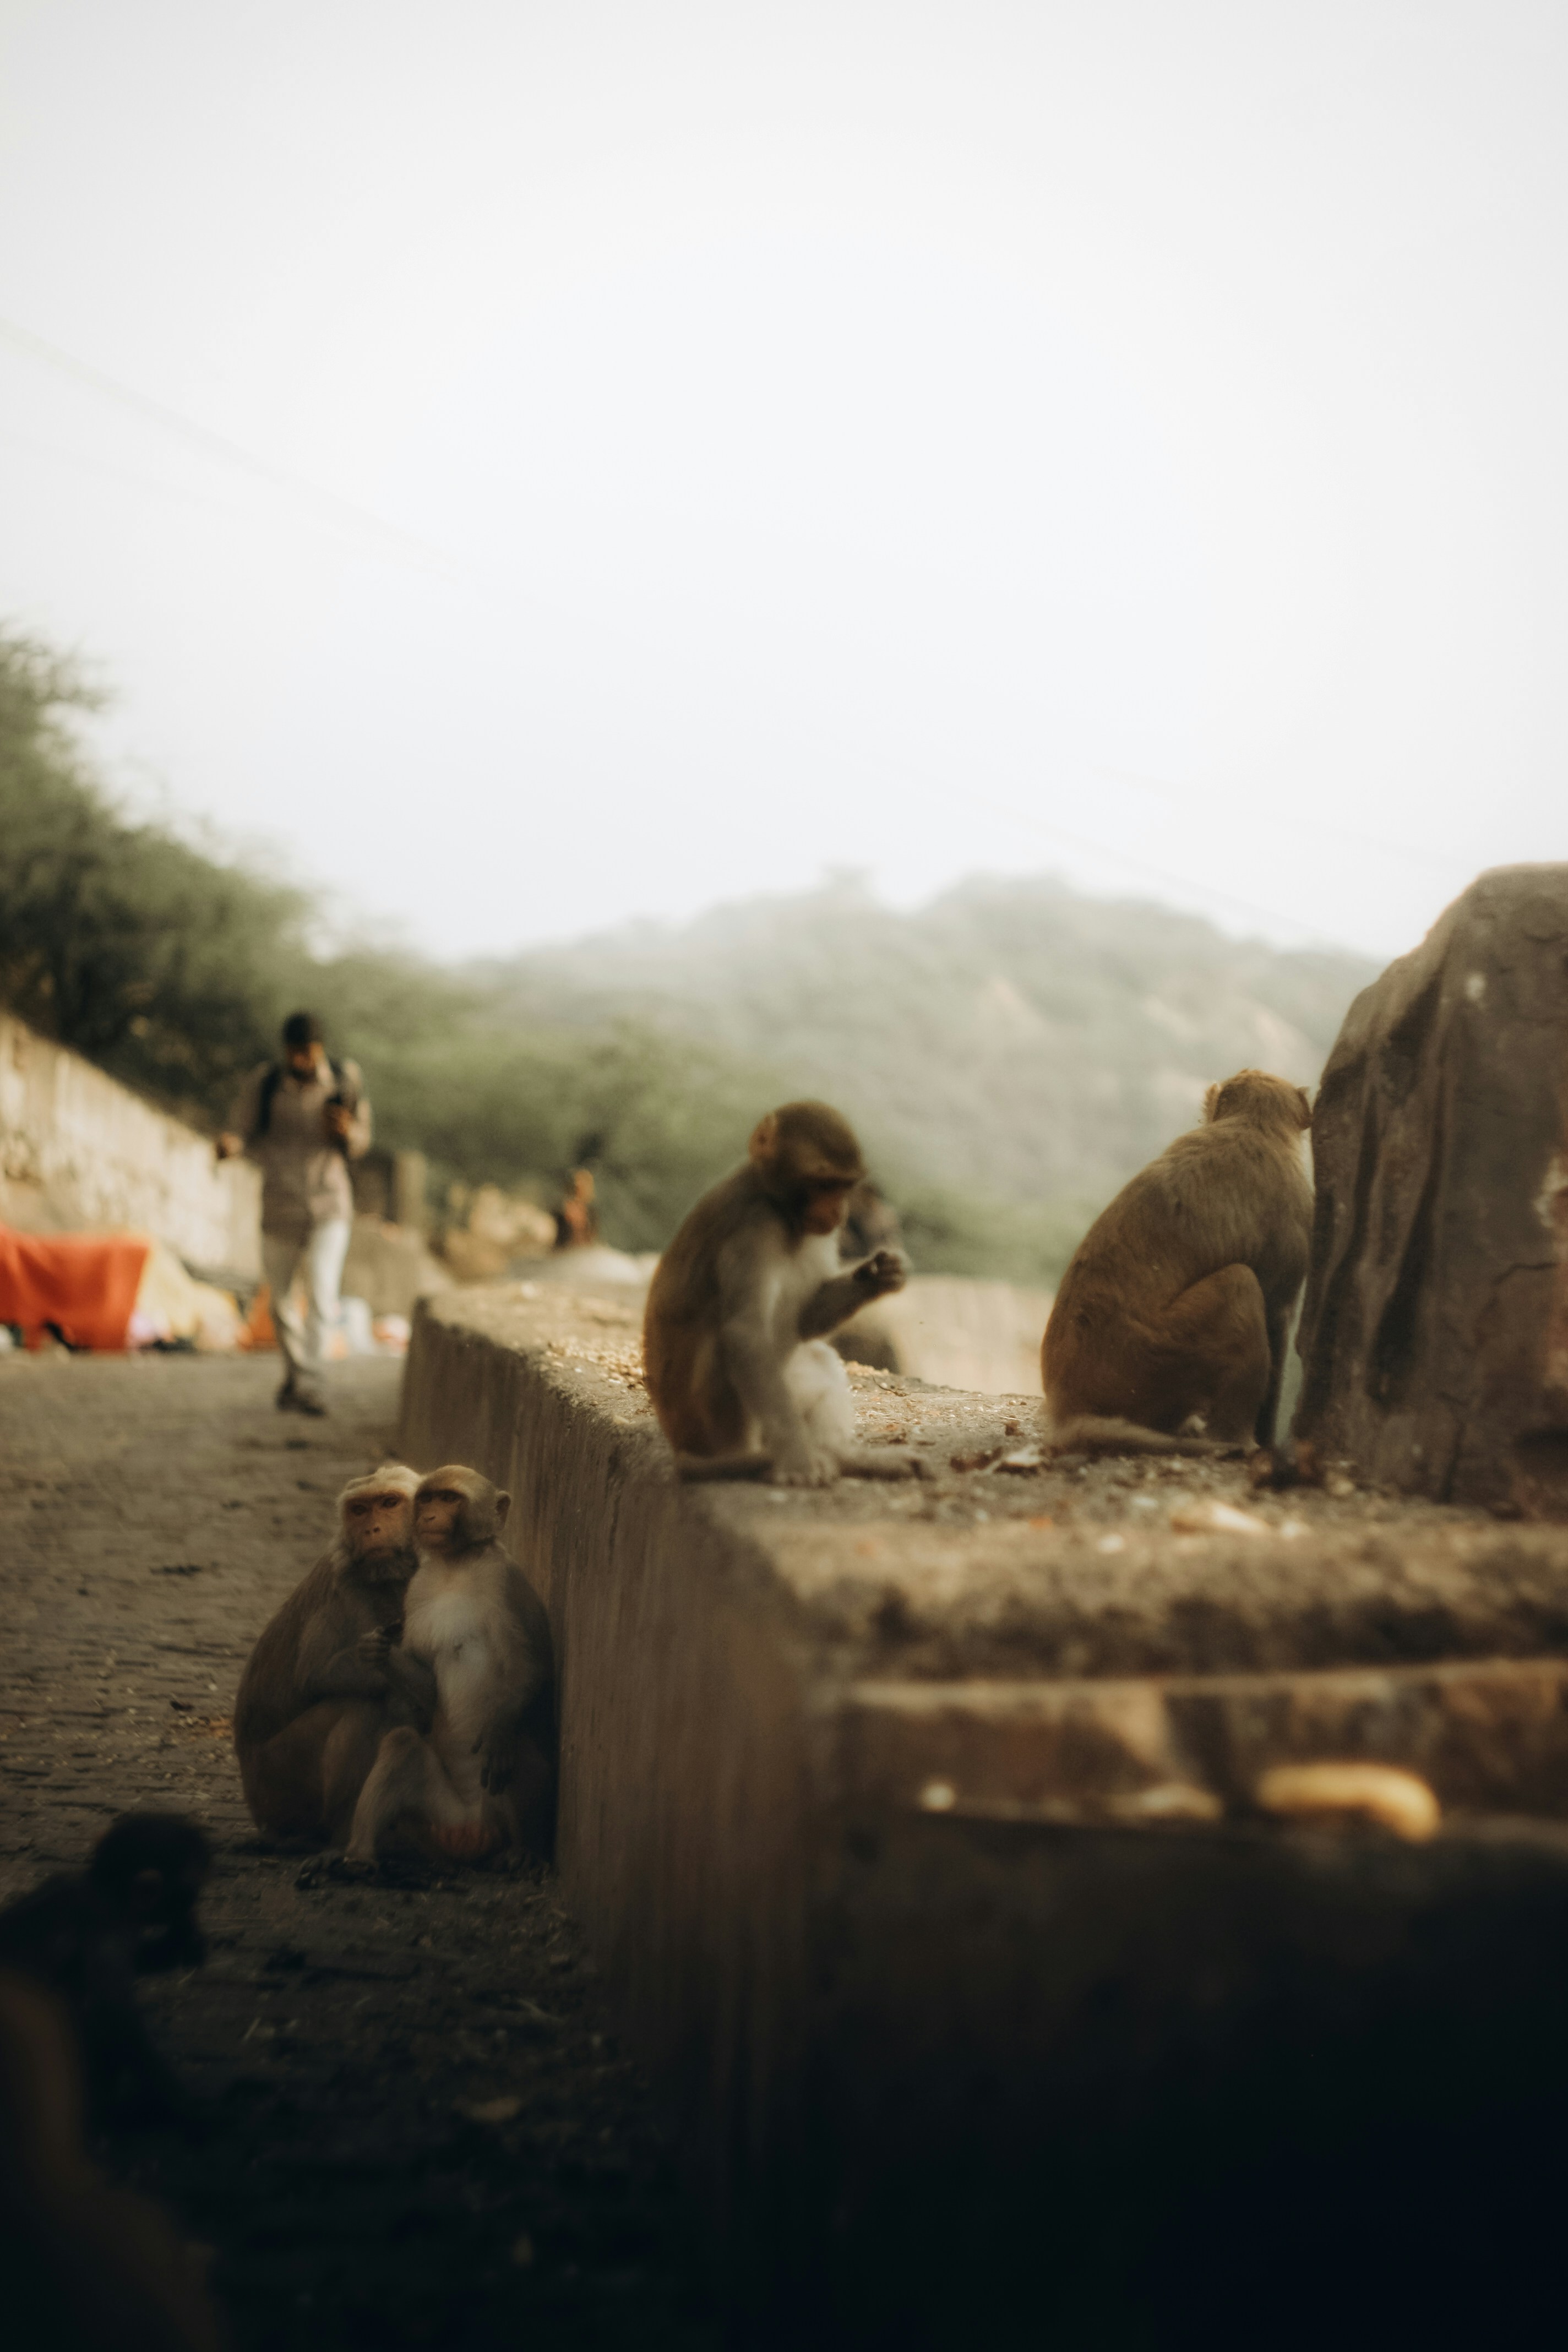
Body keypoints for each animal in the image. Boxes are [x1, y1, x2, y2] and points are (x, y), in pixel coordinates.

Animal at [0, 1814, 212, 2133]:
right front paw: (185, 2106)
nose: (193, 1903)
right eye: (192, 1889)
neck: (103, 1887)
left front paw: (182, 1943)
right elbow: (111, 2011)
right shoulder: (109, 1923)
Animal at [233, 1463, 436, 1846]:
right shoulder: (346, 1590)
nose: (371, 1529)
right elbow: (317, 1675)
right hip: (277, 1780)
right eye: (359, 1510)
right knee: (362, 1705)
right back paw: (334, 1832)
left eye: (389, 1503)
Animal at [344, 1466, 555, 1868]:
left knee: (510, 1749)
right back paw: (358, 1858)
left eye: (449, 1499)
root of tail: (470, 1833)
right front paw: (376, 1651)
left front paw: (499, 1733)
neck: (456, 1565)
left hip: (494, 1813)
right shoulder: (417, 1589)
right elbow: (428, 1686)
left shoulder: (506, 1581)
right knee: (403, 1744)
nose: (428, 1517)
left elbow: (528, 1667)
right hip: (440, 1816)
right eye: (427, 1499)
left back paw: (521, 1850)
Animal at [642, 1100, 915, 1486]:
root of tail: (679, 1445)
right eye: (823, 1184)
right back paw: (743, 1460)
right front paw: (798, 1459)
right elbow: (746, 1332)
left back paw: (846, 1458)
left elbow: (807, 1319)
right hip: (706, 1428)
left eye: (844, 1186)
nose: (839, 1211)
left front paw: (880, 1276)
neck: (783, 1212)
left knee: (817, 1358)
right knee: (727, 1347)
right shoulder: (753, 1229)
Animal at [1041, 1069, 1313, 1458]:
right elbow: (1277, 1313)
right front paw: (1268, 1439)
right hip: (1155, 1358)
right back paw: (1236, 1440)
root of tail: (1067, 1405)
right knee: (1239, 1282)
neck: (1254, 1124)